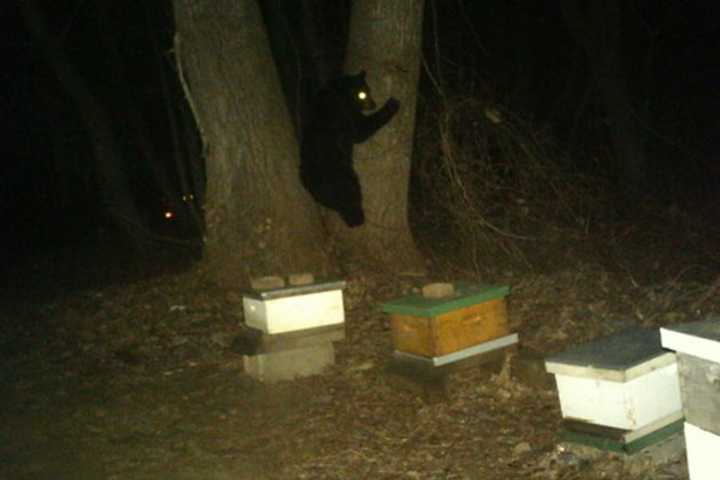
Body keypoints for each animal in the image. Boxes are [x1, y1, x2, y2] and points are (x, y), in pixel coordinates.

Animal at [300, 70, 400, 228]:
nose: (373, 104)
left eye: (369, 90)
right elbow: (361, 131)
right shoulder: (346, 113)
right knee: (351, 197)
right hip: (344, 177)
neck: (339, 92)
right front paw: (391, 105)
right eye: (362, 94)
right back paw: (357, 218)